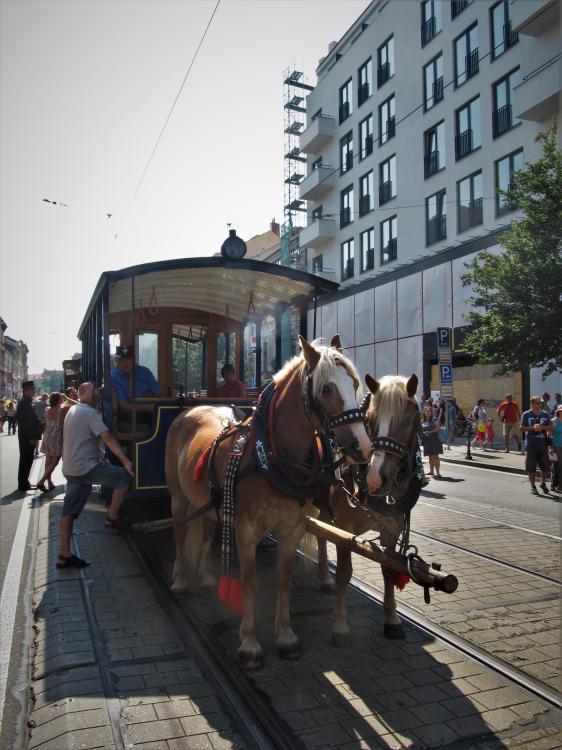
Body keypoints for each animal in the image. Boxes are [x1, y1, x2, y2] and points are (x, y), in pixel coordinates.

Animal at [164, 334, 370, 668]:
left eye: (353, 384)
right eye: (326, 388)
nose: (362, 446)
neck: (271, 455)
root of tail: (190, 410)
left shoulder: (292, 529)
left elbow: (283, 580)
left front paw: (285, 637)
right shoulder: (246, 530)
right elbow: (250, 582)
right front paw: (249, 643)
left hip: (209, 503)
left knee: (205, 534)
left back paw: (206, 578)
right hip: (178, 497)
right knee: (180, 534)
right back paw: (181, 580)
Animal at [318, 374, 422, 648]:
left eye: (407, 419)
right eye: (370, 419)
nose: (376, 479)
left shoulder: (392, 529)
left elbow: (388, 568)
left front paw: (393, 621)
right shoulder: (344, 528)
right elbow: (345, 572)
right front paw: (340, 626)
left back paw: (324, 579)